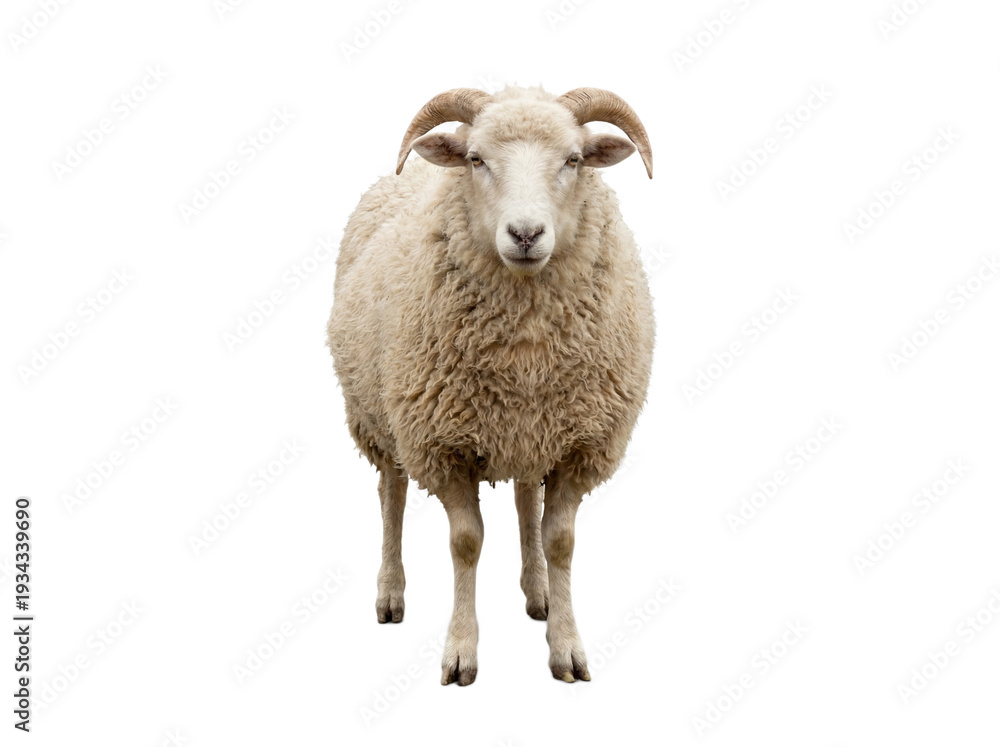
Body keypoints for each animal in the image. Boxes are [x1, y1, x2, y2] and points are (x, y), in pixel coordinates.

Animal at [327, 85, 655, 685]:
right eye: (477, 159)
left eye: (574, 159)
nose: (525, 234)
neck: (524, 346)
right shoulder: (442, 442)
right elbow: (466, 542)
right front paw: (461, 652)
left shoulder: (578, 443)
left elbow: (560, 540)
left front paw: (566, 646)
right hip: (377, 413)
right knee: (391, 494)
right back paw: (391, 592)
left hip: (529, 427)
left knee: (527, 497)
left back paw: (538, 590)